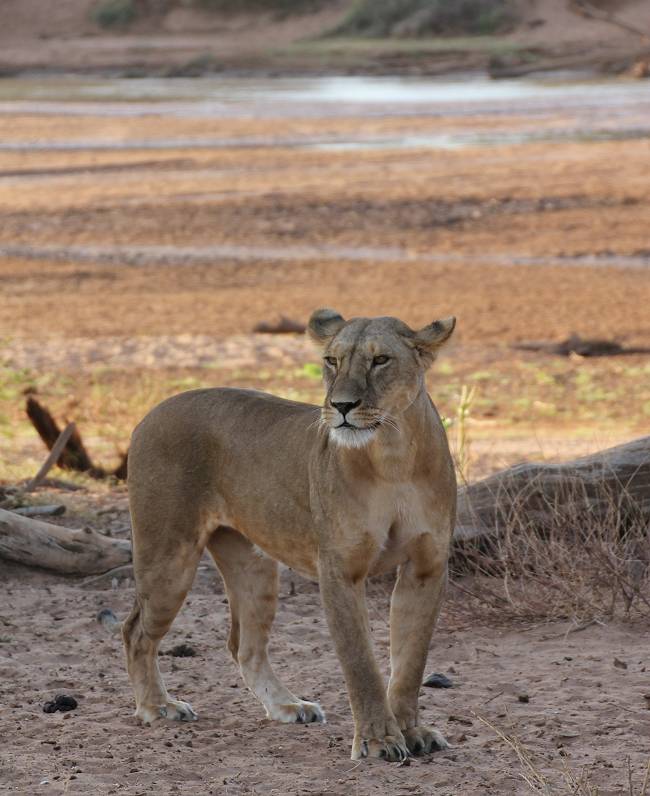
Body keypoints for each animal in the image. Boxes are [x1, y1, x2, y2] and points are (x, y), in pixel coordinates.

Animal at [121, 310, 456, 760]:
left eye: (381, 360)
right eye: (331, 361)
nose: (342, 406)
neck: (394, 453)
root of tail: (152, 410)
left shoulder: (427, 568)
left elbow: (410, 662)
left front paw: (412, 731)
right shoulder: (340, 570)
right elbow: (361, 663)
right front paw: (377, 740)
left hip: (254, 566)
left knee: (244, 645)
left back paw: (288, 706)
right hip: (168, 560)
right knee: (136, 631)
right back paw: (157, 707)